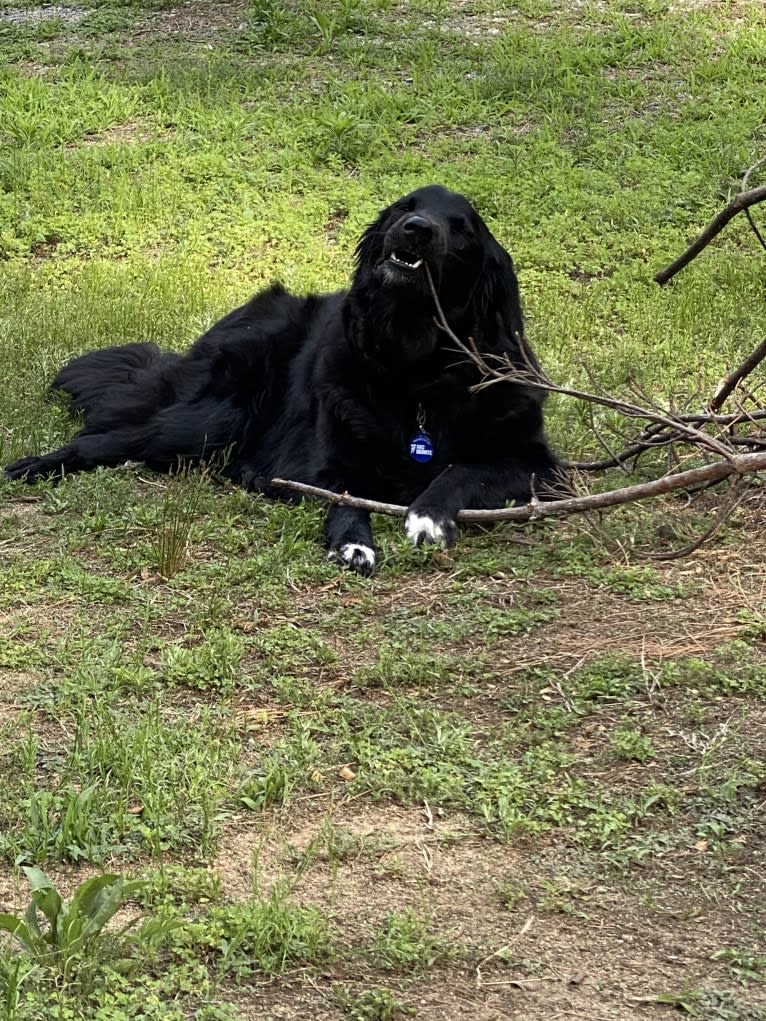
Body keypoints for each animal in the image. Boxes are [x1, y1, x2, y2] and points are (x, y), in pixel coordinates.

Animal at [6, 184, 563, 575]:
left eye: (462, 227)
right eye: (406, 206)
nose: (415, 229)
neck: (414, 373)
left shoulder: (540, 466)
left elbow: (462, 471)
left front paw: (427, 514)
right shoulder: (325, 460)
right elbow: (344, 495)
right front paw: (353, 542)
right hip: (211, 418)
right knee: (102, 440)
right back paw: (31, 467)